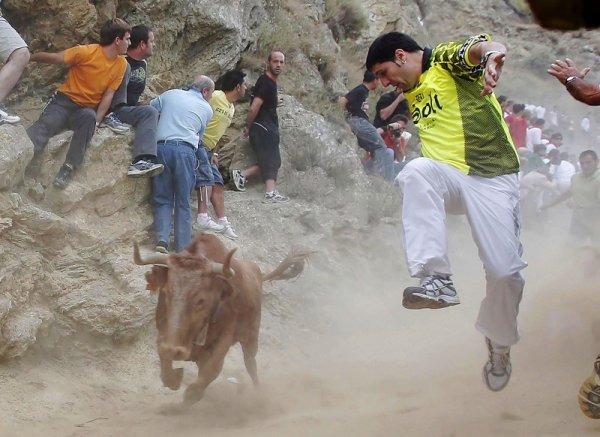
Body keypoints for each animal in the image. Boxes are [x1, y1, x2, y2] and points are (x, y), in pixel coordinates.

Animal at [131, 233, 310, 404]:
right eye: (167, 292)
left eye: (201, 300)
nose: (174, 350)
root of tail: (257, 272)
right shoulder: (164, 330)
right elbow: (166, 368)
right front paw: (176, 377)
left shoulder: (225, 336)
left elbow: (209, 374)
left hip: (251, 335)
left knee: (250, 363)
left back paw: (258, 392)